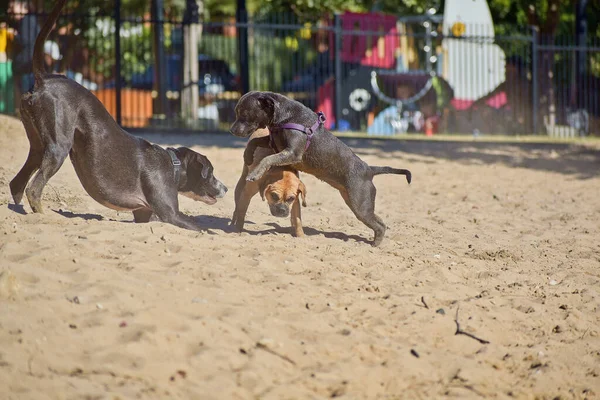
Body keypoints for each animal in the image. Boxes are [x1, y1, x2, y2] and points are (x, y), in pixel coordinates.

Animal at [10, 0, 226, 231]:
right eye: (210, 172)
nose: (226, 188)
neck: (173, 165)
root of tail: (43, 80)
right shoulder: (171, 215)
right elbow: (202, 228)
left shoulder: (143, 214)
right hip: (58, 149)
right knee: (33, 189)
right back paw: (43, 217)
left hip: (38, 147)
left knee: (17, 184)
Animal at [227, 91, 410, 247]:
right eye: (236, 111)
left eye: (243, 113)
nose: (231, 130)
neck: (284, 117)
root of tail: (369, 170)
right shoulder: (274, 143)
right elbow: (254, 142)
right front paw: (248, 156)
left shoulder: (292, 153)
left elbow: (268, 158)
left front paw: (255, 172)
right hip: (354, 202)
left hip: (361, 206)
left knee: (380, 225)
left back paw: (375, 244)